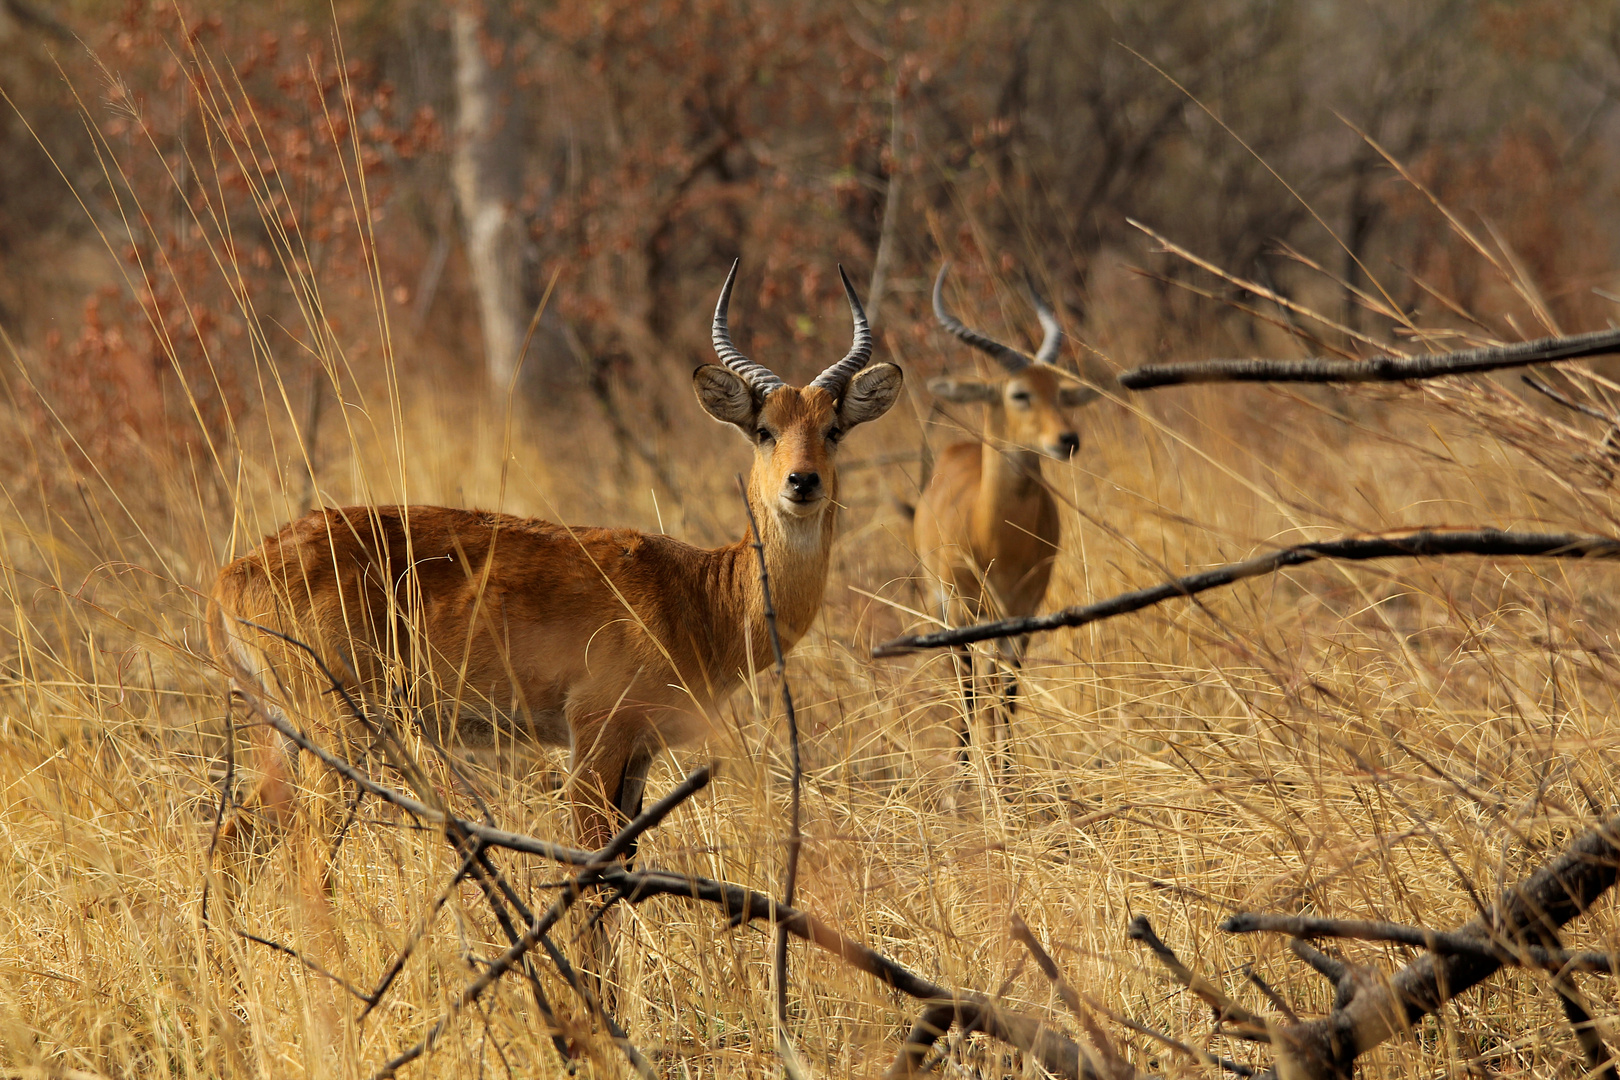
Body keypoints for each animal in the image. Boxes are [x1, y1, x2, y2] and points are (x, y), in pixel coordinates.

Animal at [208, 263, 907, 867]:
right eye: (764, 429)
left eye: (833, 428)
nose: (802, 482)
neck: (699, 595)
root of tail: (234, 572)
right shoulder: (594, 737)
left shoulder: (640, 754)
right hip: (336, 734)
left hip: (288, 734)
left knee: (232, 844)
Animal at [913, 265, 1101, 764]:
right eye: (1019, 393)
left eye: (1058, 391)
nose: (1067, 438)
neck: (995, 533)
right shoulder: (959, 608)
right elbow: (971, 693)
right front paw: (967, 779)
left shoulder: (1024, 610)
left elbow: (1008, 694)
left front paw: (1009, 778)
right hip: (944, 607)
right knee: (966, 685)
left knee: (993, 684)